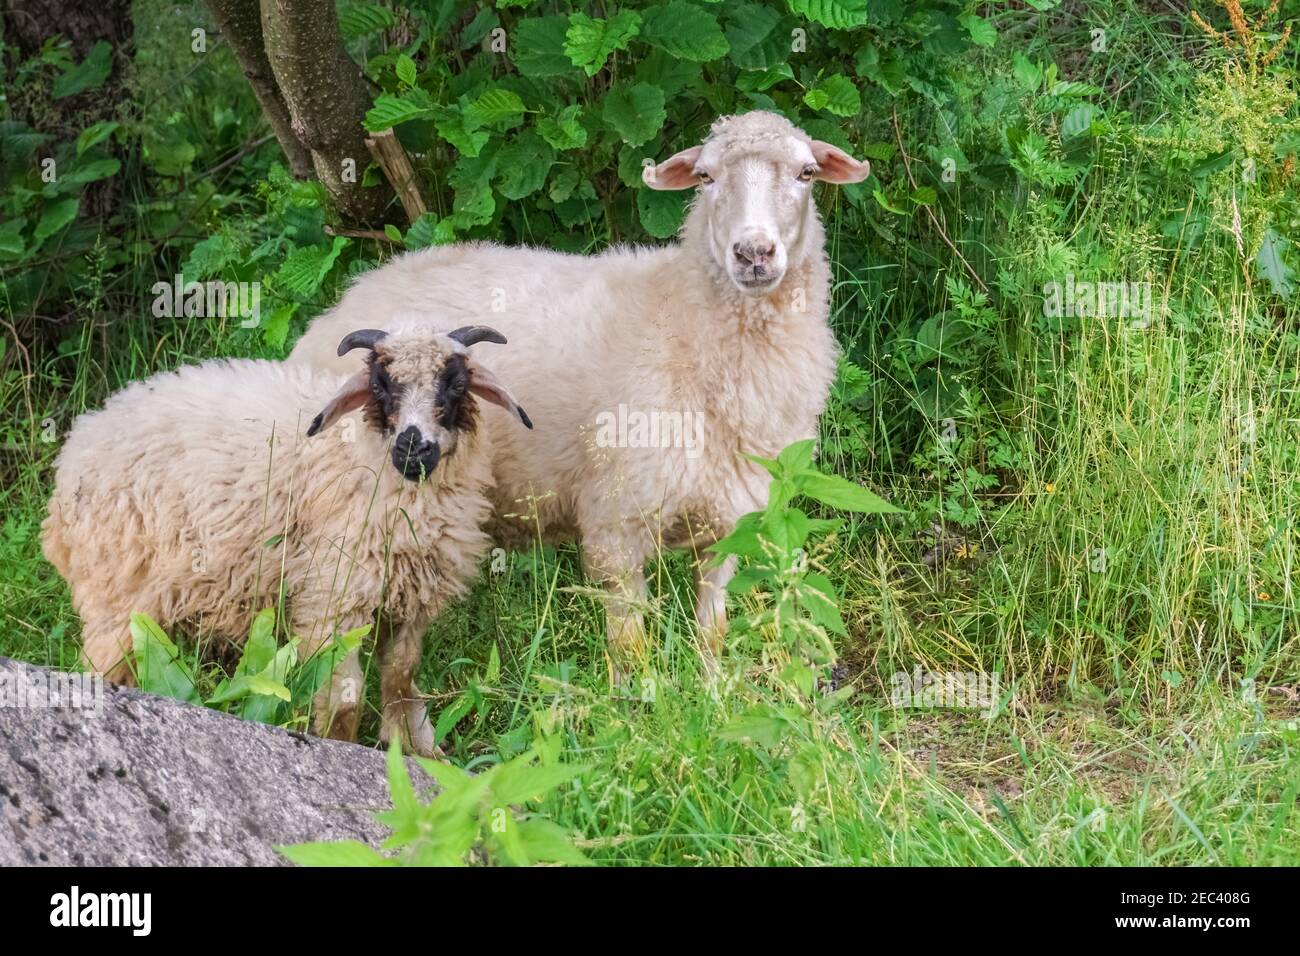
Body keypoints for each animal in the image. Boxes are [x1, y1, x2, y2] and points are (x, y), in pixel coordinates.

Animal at [41, 323, 532, 755]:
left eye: (455, 384)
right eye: (380, 386)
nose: (414, 448)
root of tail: (81, 440)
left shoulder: (412, 602)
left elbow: (400, 676)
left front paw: (415, 749)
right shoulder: (332, 598)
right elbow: (345, 697)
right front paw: (340, 746)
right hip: (112, 593)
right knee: (104, 666)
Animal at [287, 110, 870, 671]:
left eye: (806, 173)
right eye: (705, 177)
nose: (753, 253)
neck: (681, 324)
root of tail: (341, 305)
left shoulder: (732, 520)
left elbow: (713, 634)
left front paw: (714, 693)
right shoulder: (617, 522)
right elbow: (632, 650)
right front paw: (639, 703)